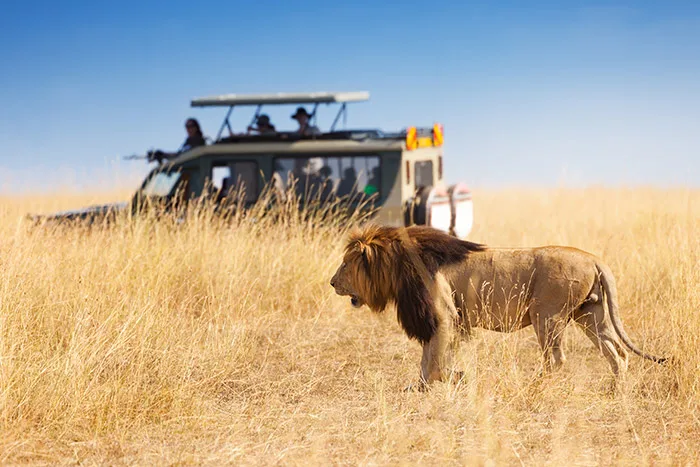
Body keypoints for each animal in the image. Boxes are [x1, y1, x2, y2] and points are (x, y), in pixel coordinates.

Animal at [329, 224, 667, 389]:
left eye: (345, 264)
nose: (332, 283)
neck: (398, 265)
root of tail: (594, 259)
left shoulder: (443, 316)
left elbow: (435, 362)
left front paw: (453, 379)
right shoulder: (443, 321)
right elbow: (428, 360)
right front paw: (423, 387)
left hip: (547, 316)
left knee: (557, 359)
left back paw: (536, 386)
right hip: (590, 315)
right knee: (618, 353)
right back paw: (615, 391)